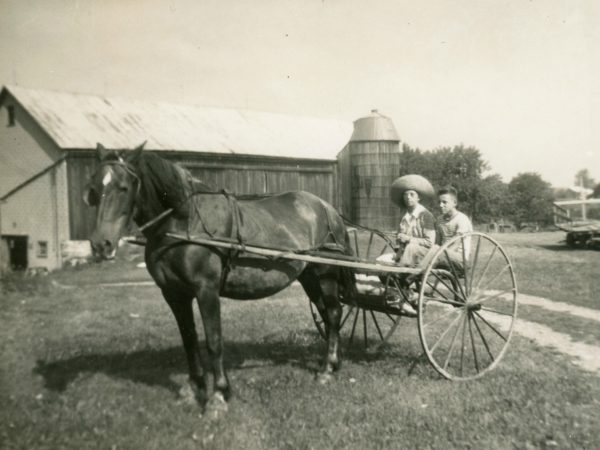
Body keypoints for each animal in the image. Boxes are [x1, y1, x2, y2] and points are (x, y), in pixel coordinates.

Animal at [84, 142, 356, 410]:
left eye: (124, 187)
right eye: (94, 188)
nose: (100, 245)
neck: (185, 221)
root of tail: (328, 209)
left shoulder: (207, 290)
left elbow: (214, 341)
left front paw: (218, 395)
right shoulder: (174, 294)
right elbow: (189, 339)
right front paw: (193, 387)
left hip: (325, 275)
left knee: (333, 313)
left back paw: (327, 369)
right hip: (309, 276)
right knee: (326, 313)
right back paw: (334, 363)